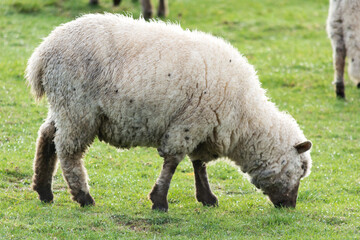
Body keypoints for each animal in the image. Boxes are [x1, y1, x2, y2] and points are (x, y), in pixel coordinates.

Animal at [25, 14, 312, 211]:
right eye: (300, 169)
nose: (290, 206)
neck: (246, 121)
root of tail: (43, 53)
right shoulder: (190, 123)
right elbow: (173, 162)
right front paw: (160, 201)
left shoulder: (202, 127)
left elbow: (198, 164)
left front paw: (206, 198)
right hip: (78, 108)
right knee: (68, 152)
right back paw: (83, 197)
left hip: (64, 105)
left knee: (47, 136)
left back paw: (44, 191)